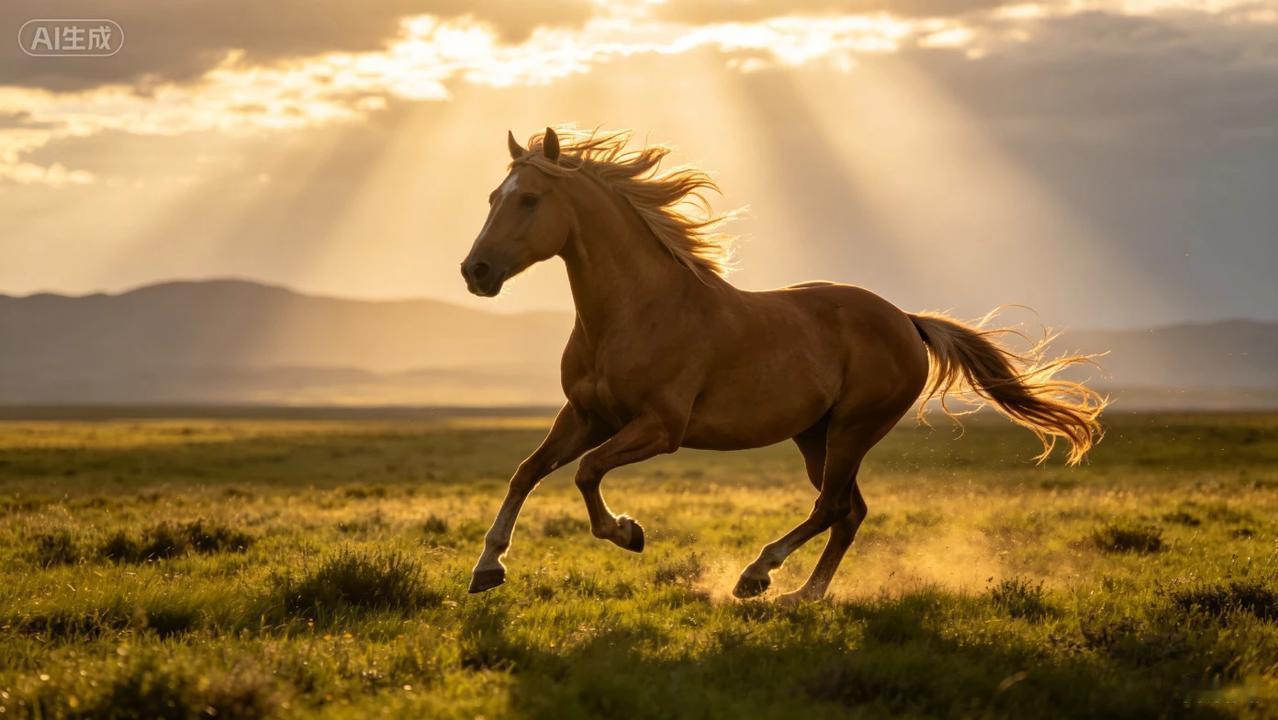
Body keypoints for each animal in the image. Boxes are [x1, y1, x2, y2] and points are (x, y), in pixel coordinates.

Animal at [459, 127, 1105, 603]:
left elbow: (587, 473)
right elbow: (527, 472)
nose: (476, 271)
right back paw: (803, 595)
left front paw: (628, 532)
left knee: (833, 506)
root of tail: (906, 320)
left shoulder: (660, 428)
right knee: (849, 511)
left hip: (852, 430)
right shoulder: (586, 415)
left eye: (529, 199)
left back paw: (758, 576)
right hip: (816, 436)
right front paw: (487, 568)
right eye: (491, 198)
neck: (634, 311)